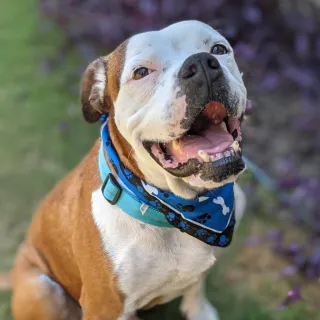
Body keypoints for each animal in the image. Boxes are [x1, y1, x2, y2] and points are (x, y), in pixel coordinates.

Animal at [11, 20, 248, 320]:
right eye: (141, 72)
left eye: (218, 49)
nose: (201, 64)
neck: (176, 210)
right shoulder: (103, 304)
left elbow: (195, 287)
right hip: (43, 289)